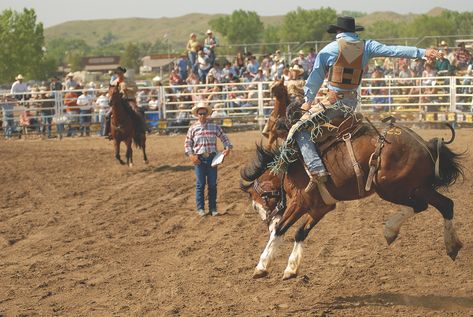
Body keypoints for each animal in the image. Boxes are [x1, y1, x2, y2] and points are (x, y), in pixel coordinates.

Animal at [242, 121, 462, 278]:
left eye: (258, 203)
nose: (268, 222)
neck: (290, 167)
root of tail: (425, 144)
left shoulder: (299, 203)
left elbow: (282, 230)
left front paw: (262, 265)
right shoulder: (320, 208)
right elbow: (300, 232)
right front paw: (291, 268)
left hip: (393, 188)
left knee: (424, 205)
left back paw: (392, 230)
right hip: (416, 187)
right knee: (444, 205)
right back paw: (449, 245)